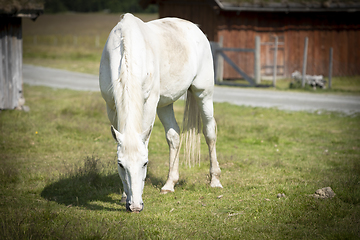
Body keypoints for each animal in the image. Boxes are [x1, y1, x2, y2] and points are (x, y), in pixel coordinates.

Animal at [98, 13, 222, 213]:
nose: (135, 207)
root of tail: (195, 28)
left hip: (203, 93)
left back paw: (215, 181)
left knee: (210, 133)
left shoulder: (148, 104)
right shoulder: (111, 107)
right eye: (120, 164)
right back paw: (169, 184)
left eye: (145, 163)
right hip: (165, 103)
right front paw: (125, 195)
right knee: (174, 136)